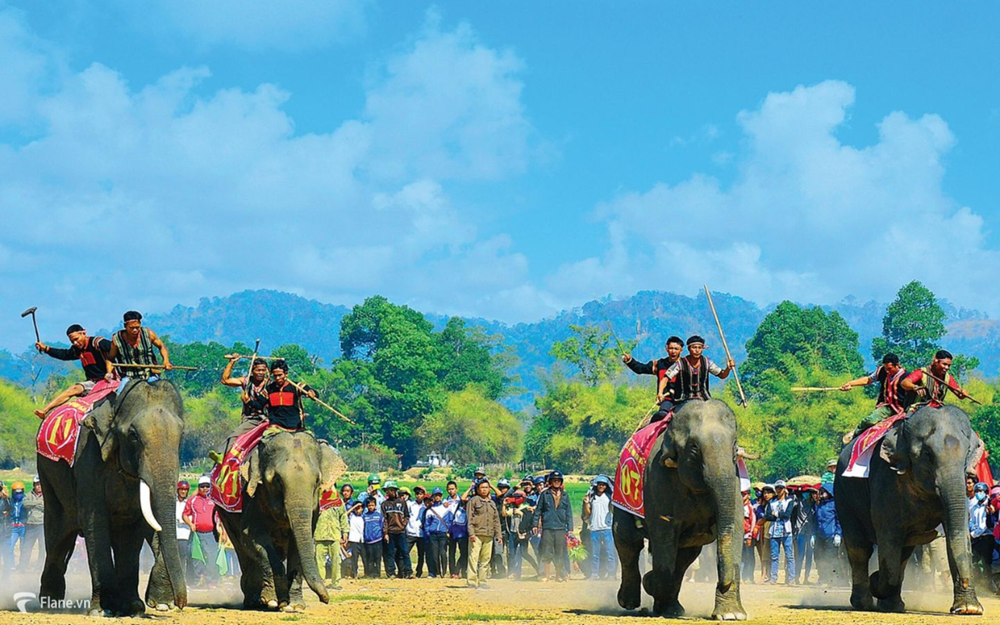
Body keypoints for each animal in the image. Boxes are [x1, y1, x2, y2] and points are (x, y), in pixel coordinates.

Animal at [35, 378, 188, 616]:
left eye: (181, 436)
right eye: (133, 435)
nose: (181, 603)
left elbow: (134, 531)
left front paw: (136, 607)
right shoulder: (88, 457)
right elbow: (95, 522)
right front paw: (102, 611)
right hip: (47, 478)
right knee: (57, 537)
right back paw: (50, 603)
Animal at [217, 428, 346, 608]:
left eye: (317, 480)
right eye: (277, 480)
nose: (325, 599)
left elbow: (298, 545)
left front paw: (295, 605)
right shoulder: (252, 498)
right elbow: (253, 539)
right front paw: (273, 600)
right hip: (225, 513)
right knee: (242, 550)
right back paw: (254, 600)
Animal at [608, 400, 744, 620]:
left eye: (734, 445)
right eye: (694, 448)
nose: (723, 582)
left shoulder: (736, 479)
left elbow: (736, 529)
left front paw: (732, 615)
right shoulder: (658, 478)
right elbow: (663, 531)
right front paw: (651, 582)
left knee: (686, 555)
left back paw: (671, 608)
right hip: (621, 491)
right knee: (627, 539)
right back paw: (630, 602)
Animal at [836, 402, 984, 612]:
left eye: (967, 455)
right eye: (928, 455)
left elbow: (959, 534)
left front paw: (968, 609)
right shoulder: (884, 481)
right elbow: (889, 537)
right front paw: (875, 580)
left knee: (904, 553)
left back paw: (893, 605)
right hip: (843, 496)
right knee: (859, 548)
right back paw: (863, 603)